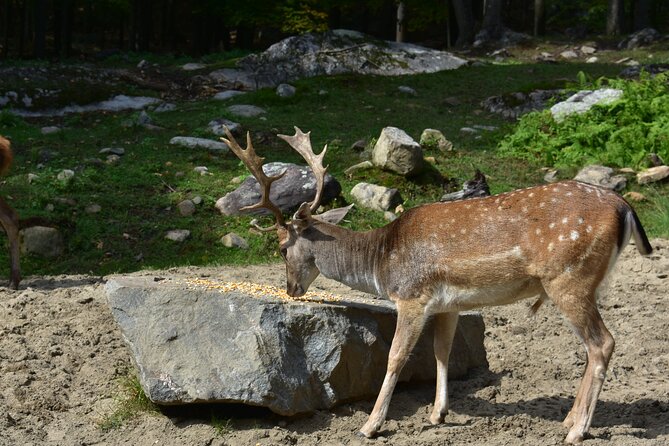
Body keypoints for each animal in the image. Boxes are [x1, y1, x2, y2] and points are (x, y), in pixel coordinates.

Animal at [222, 127, 648, 444]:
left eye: (281, 247)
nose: (291, 288)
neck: (381, 262)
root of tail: (624, 207)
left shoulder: (412, 296)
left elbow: (397, 356)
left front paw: (369, 425)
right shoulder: (449, 304)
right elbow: (442, 351)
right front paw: (436, 414)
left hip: (569, 277)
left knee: (602, 343)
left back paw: (577, 430)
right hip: (587, 282)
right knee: (593, 346)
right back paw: (568, 420)